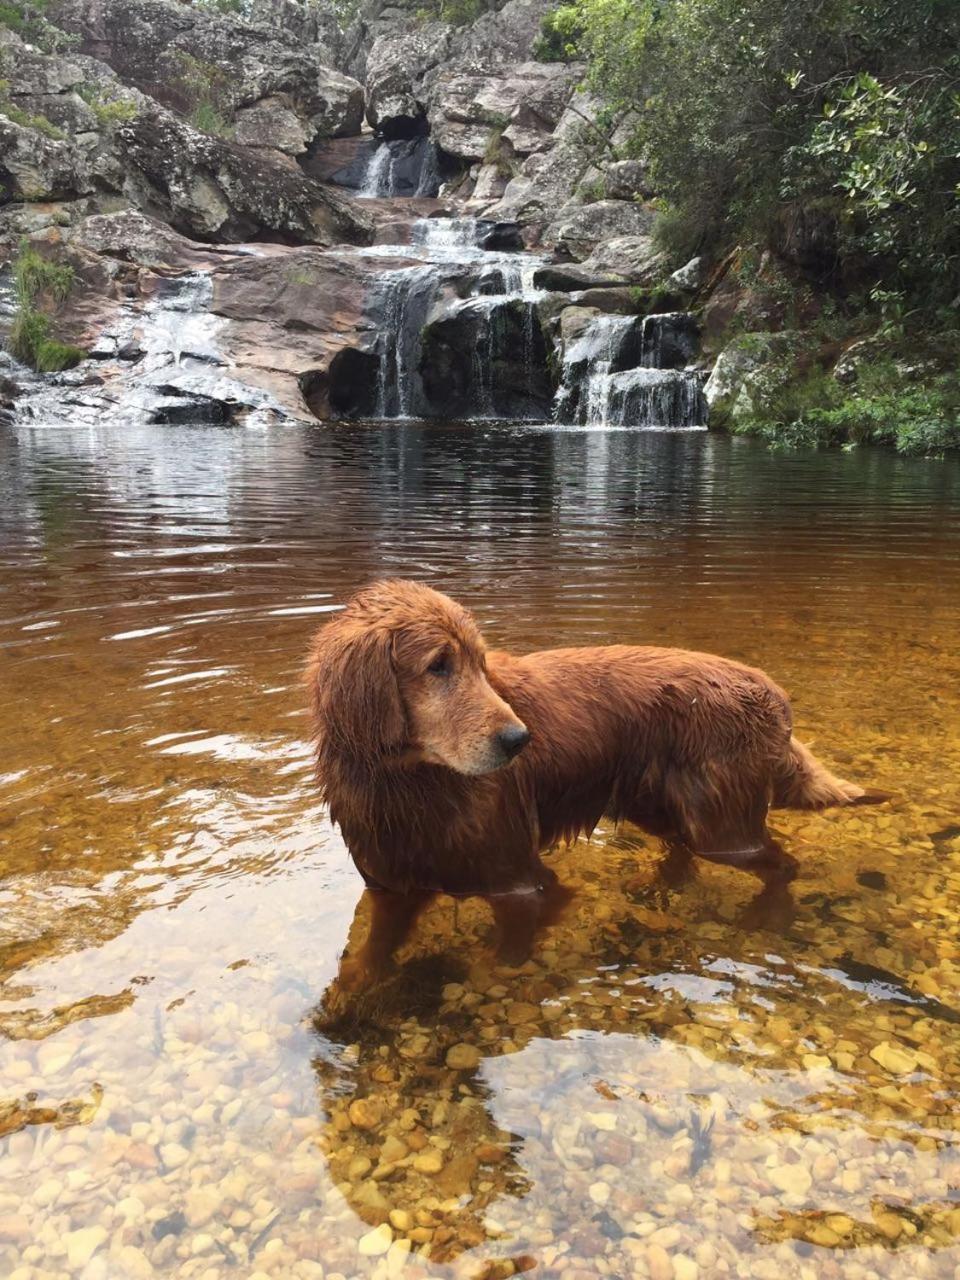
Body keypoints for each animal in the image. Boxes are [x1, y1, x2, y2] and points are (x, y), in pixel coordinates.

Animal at [305, 586, 880, 983]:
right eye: (437, 666)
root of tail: (772, 692)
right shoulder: (390, 886)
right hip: (661, 806)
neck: (410, 784)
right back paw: (660, 889)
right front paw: (355, 987)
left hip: (721, 825)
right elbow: (375, 949)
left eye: (480, 665)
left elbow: (507, 954)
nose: (519, 739)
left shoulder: (523, 882)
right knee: (682, 851)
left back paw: (766, 915)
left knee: (782, 864)